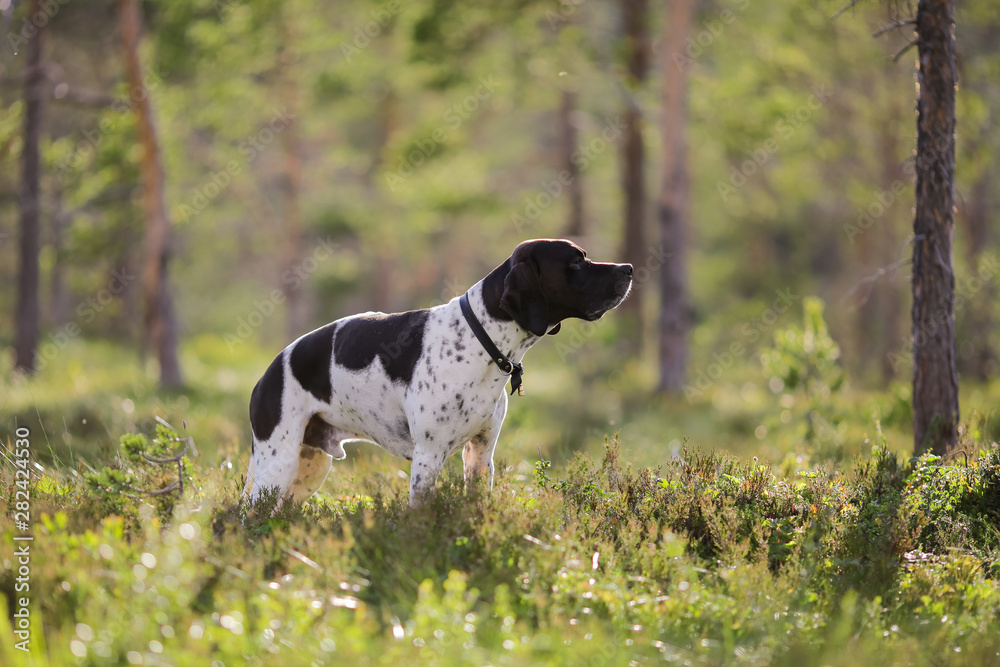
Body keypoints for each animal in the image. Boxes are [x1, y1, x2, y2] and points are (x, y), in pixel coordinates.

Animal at [243, 239, 632, 506]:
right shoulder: (428, 457)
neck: (481, 339)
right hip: (277, 467)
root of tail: (267, 372)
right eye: (576, 262)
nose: (628, 268)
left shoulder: (480, 455)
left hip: (306, 471)